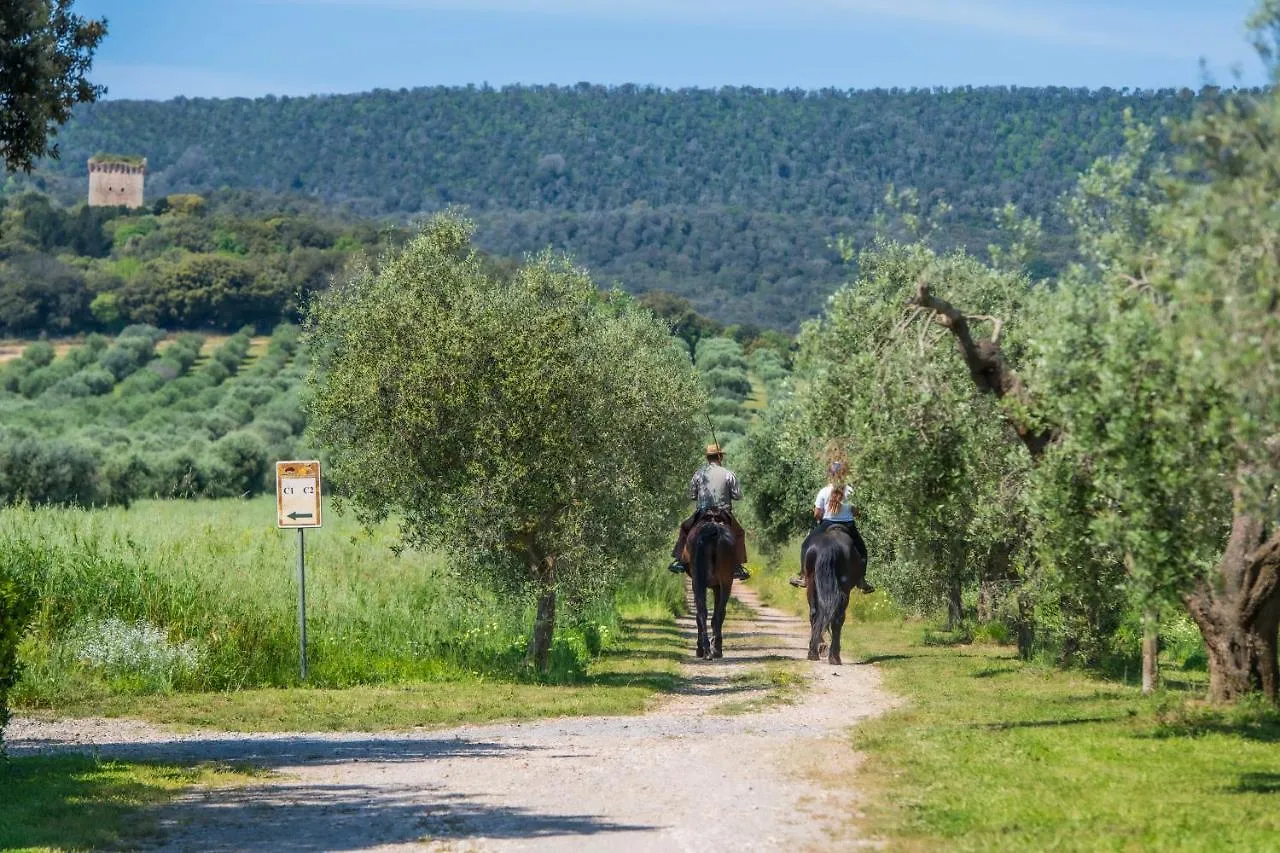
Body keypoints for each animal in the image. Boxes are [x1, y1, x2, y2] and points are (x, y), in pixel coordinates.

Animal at [686, 504, 737, 655]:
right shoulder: (716, 586)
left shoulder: (703, 584)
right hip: (725, 582)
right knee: (715, 612)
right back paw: (712, 649)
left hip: (703, 582)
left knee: (705, 612)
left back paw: (707, 650)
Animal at [798, 517, 870, 666]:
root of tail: (829, 546)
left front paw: (820, 646)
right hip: (844, 588)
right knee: (838, 618)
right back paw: (834, 657)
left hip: (812, 583)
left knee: (814, 613)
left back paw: (814, 652)